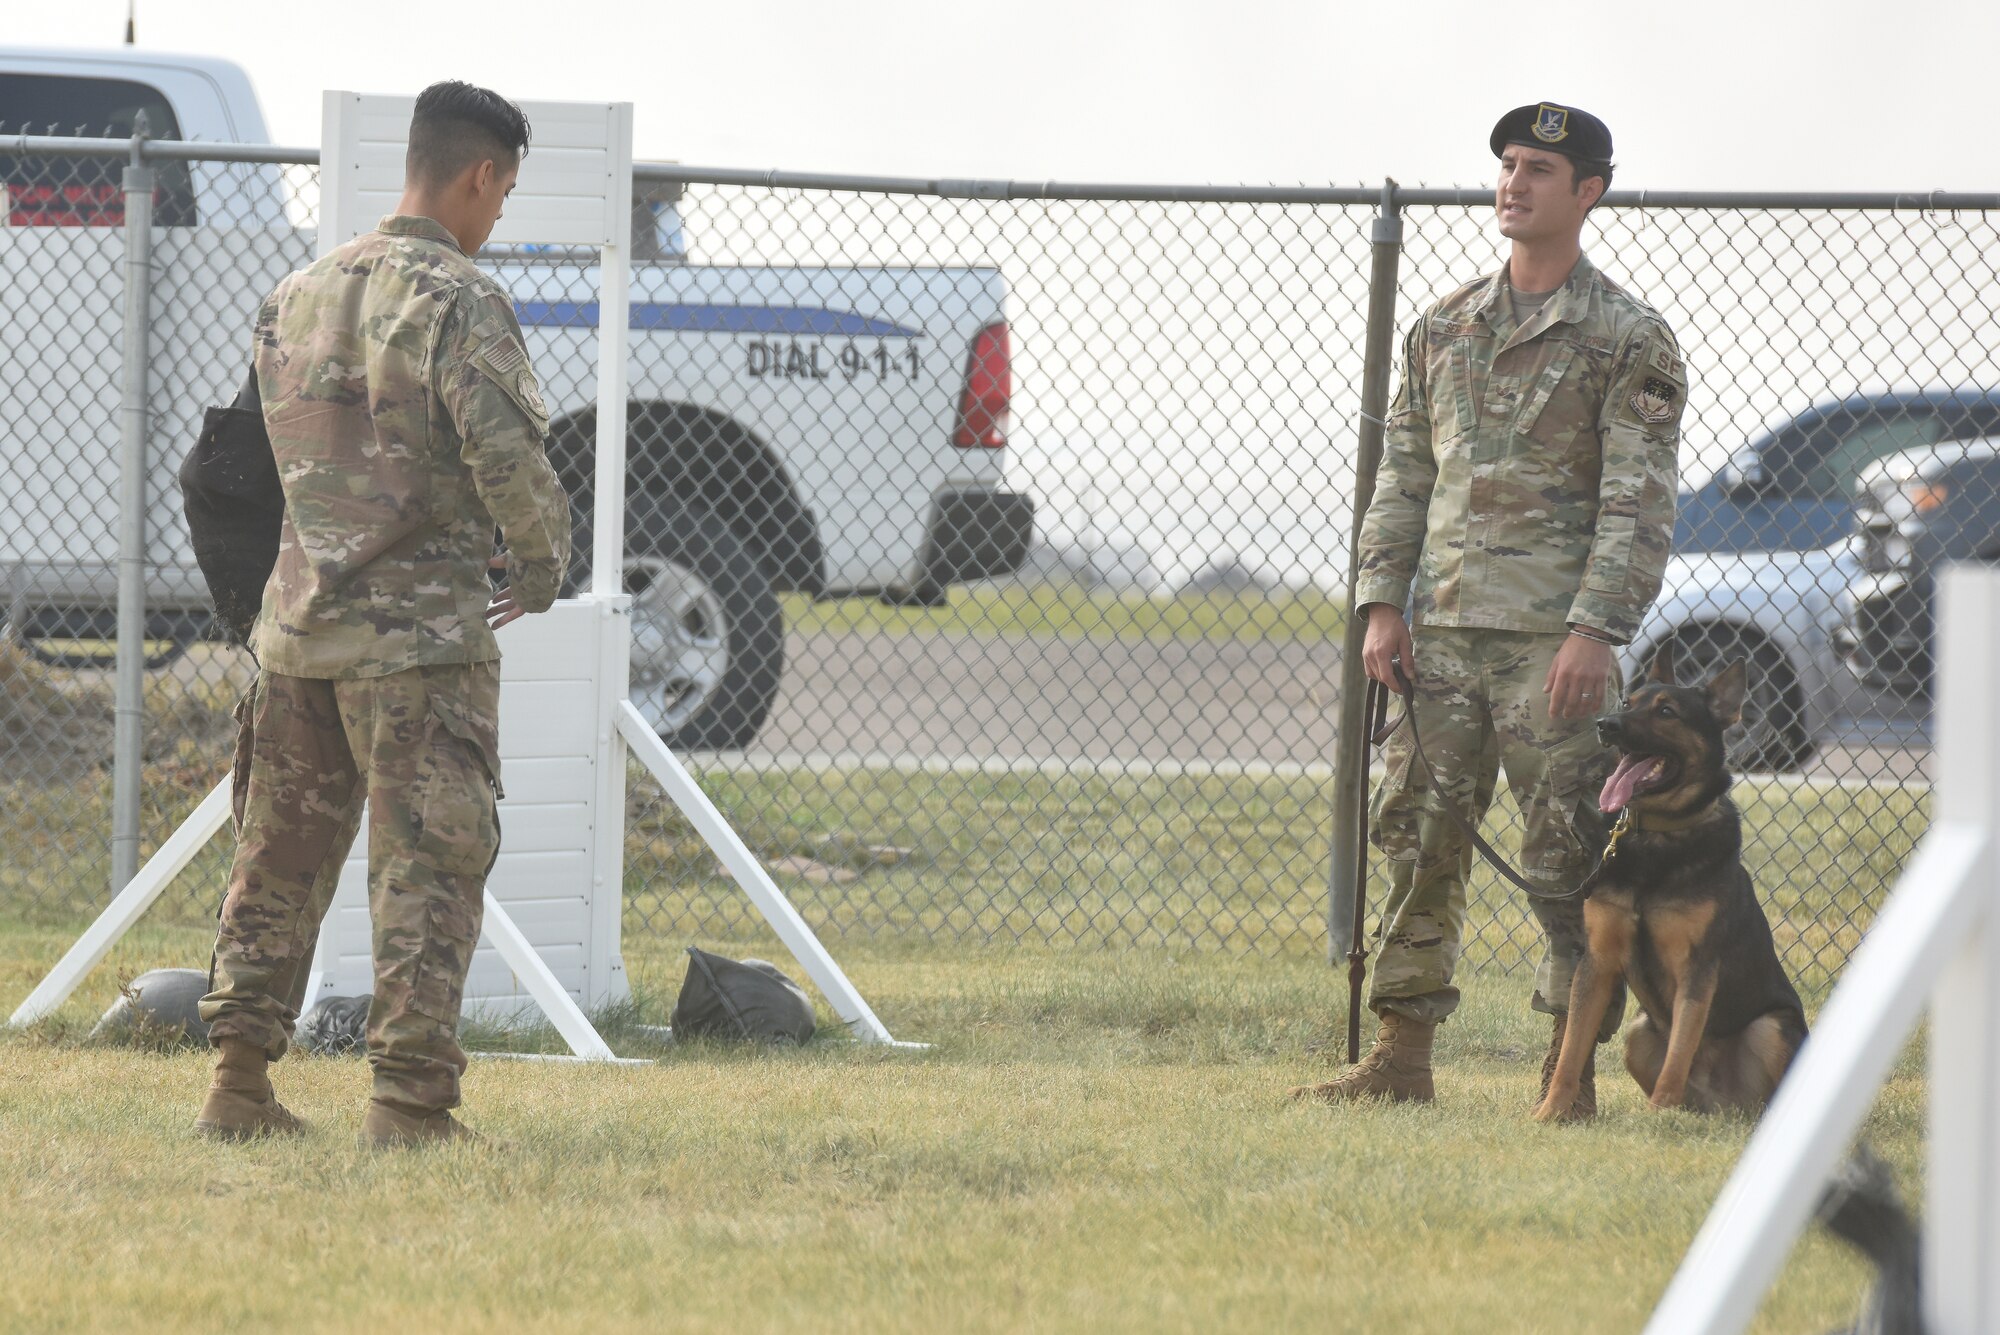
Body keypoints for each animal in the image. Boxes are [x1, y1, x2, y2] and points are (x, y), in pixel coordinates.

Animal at [1536, 651, 1808, 1119]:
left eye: (1667, 712)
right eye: (1628, 702)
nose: (1606, 724)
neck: (1656, 835)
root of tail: (1724, 1106)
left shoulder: (1697, 970)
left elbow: (1679, 1053)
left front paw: (1655, 1119)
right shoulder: (1597, 962)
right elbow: (1572, 1050)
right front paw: (1550, 1113)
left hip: (1772, 1026)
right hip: (1638, 1032)